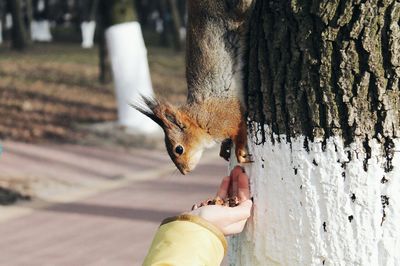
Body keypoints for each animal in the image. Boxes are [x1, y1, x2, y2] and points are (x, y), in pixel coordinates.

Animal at [133, 0, 255, 175]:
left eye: (179, 149)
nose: (184, 172)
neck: (199, 119)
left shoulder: (228, 116)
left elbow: (239, 129)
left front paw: (239, 154)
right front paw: (224, 149)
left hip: (233, 14)